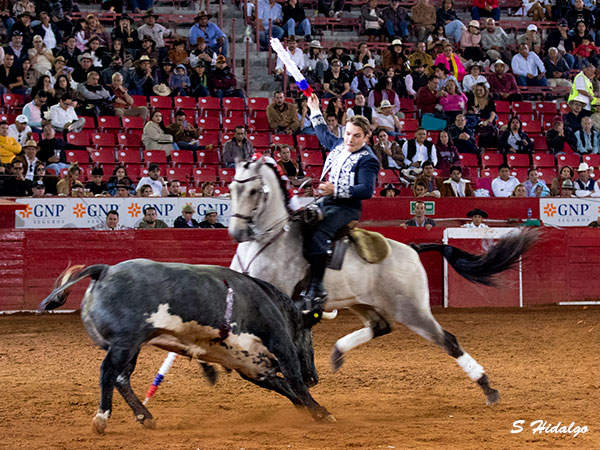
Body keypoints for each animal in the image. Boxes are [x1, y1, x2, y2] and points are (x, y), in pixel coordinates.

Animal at [39, 258, 336, 434]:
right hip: (125, 341)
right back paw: (102, 418)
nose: (314, 377)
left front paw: (309, 410)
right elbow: (293, 379)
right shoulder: (279, 341)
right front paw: (323, 413)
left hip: (131, 345)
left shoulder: (252, 366)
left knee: (121, 378)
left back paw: (145, 416)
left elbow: (284, 386)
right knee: (108, 373)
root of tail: (105, 270)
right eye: (308, 333)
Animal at [227, 160, 536, 406]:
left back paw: (487, 388)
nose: (237, 231)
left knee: (448, 340)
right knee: (381, 326)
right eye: (231, 189)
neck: (271, 240)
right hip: (361, 302)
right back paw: (338, 353)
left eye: (253, 191)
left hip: (411, 309)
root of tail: (412, 248)